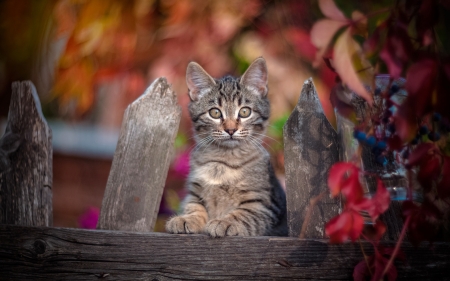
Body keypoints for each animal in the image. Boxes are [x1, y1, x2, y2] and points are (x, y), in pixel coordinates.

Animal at [166, 57, 288, 236]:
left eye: (244, 112)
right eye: (215, 113)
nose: (230, 129)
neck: (224, 161)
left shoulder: (265, 204)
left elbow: (244, 214)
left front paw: (225, 222)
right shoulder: (195, 192)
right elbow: (194, 205)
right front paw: (187, 218)